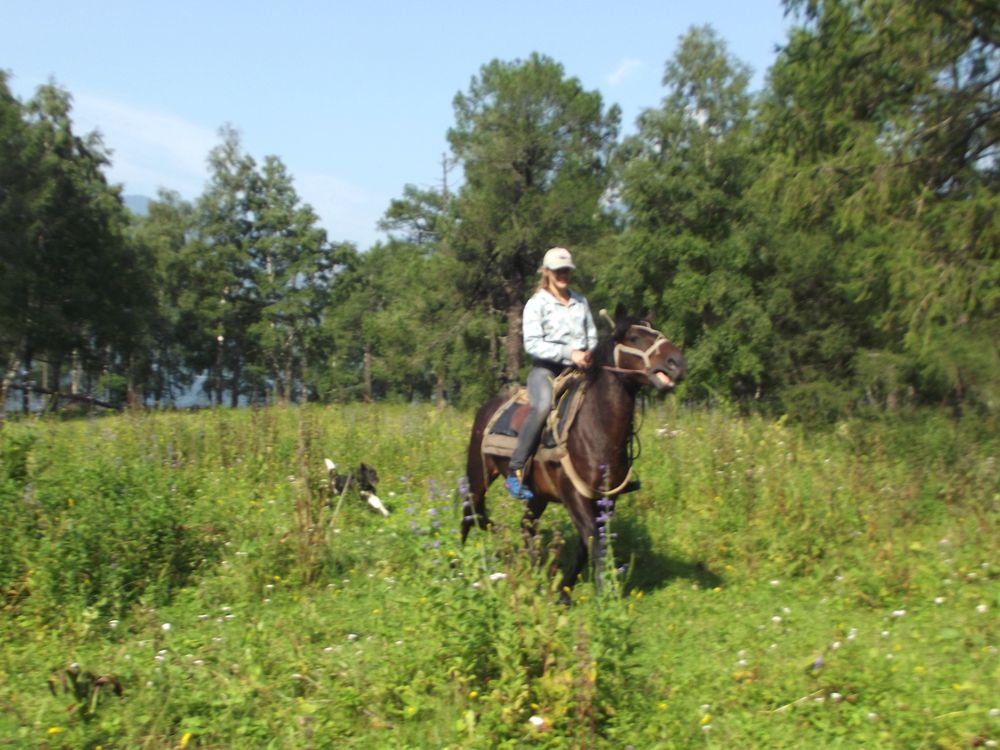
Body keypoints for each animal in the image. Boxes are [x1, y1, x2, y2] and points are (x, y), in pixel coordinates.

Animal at [461, 304, 687, 602]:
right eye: (634, 337)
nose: (677, 362)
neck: (595, 429)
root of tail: (485, 409)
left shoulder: (606, 500)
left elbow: (588, 543)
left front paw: (563, 591)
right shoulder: (574, 496)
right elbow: (594, 540)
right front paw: (605, 597)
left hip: (537, 494)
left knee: (524, 526)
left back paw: (529, 569)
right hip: (479, 476)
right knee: (469, 514)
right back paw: (456, 567)